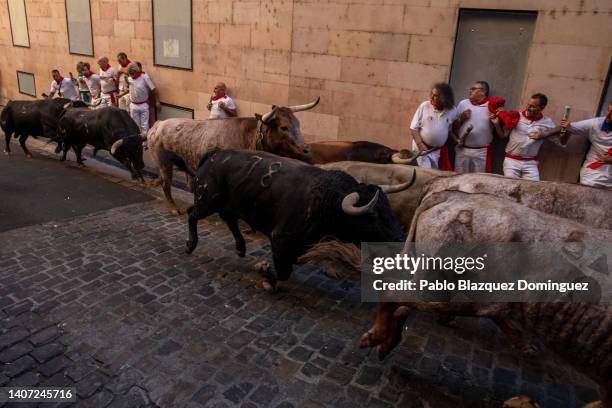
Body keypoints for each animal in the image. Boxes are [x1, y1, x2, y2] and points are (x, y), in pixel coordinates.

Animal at [148, 99, 318, 215]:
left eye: (298, 123)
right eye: (283, 127)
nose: (306, 149)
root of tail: (159, 124)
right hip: (164, 164)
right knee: (166, 185)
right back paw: (174, 208)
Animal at [183, 150, 416, 286]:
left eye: (388, 207)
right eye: (373, 214)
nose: (399, 237)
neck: (322, 198)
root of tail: (216, 153)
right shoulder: (280, 239)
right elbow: (283, 271)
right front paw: (265, 273)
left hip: (226, 205)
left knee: (228, 219)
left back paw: (240, 248)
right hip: (207, 201)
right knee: (192, 214)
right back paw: (190, 245)